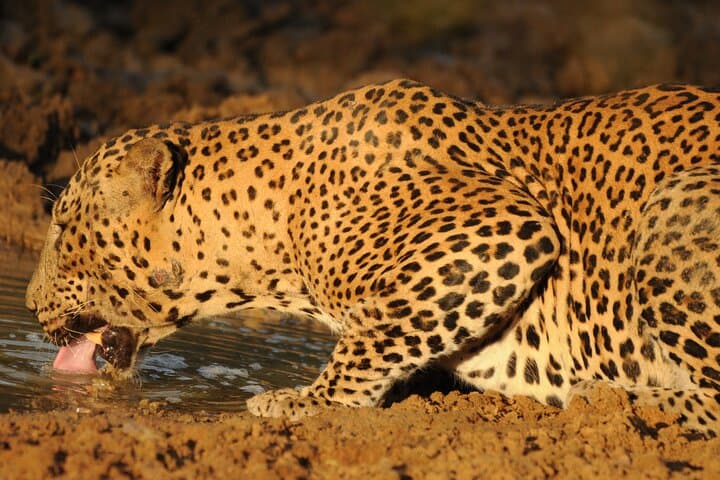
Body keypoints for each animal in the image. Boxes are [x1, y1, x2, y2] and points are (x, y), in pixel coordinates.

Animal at [25, 78, 720, 434]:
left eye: (61, 227)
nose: (28, 305)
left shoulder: (505, 226)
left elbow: (377, 332)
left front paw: (308, 400)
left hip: (672, 205)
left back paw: (615, 399)